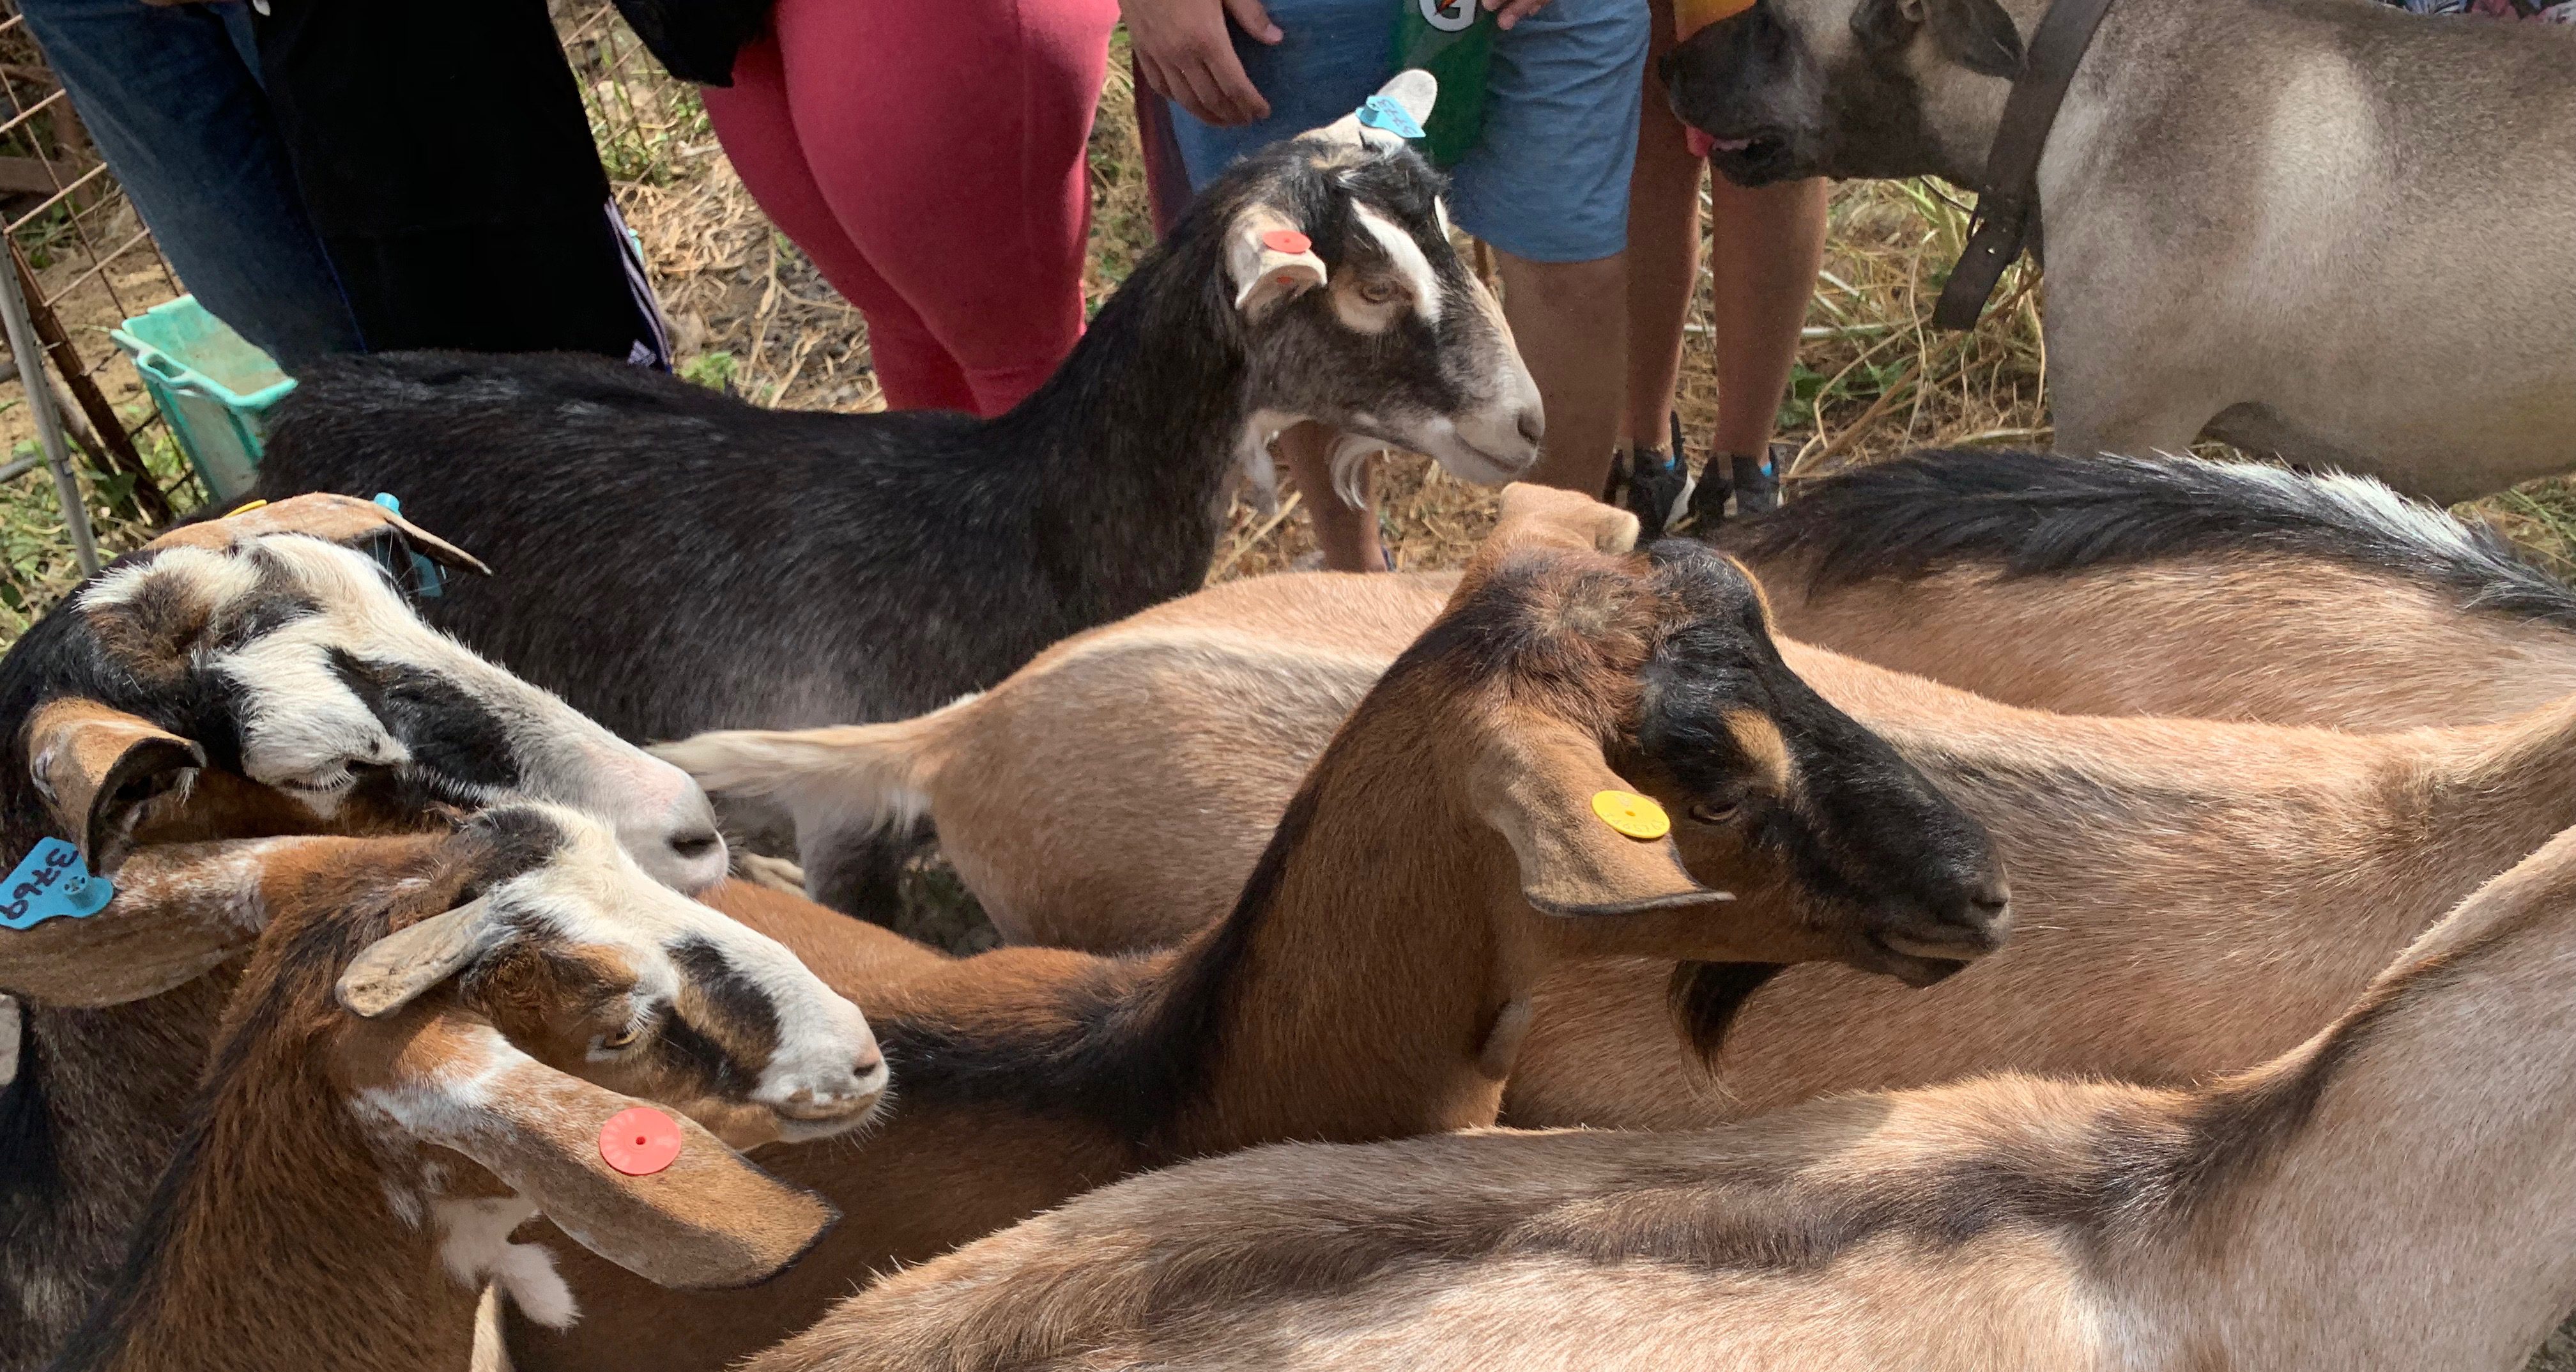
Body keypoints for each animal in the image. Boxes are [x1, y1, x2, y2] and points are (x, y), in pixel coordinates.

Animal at [243, 73, 1543, 915]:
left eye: (1448, 225)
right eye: (1368, 287)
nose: (1523, 424)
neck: (1010, 522)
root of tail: (299, 414)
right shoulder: (843, 813)